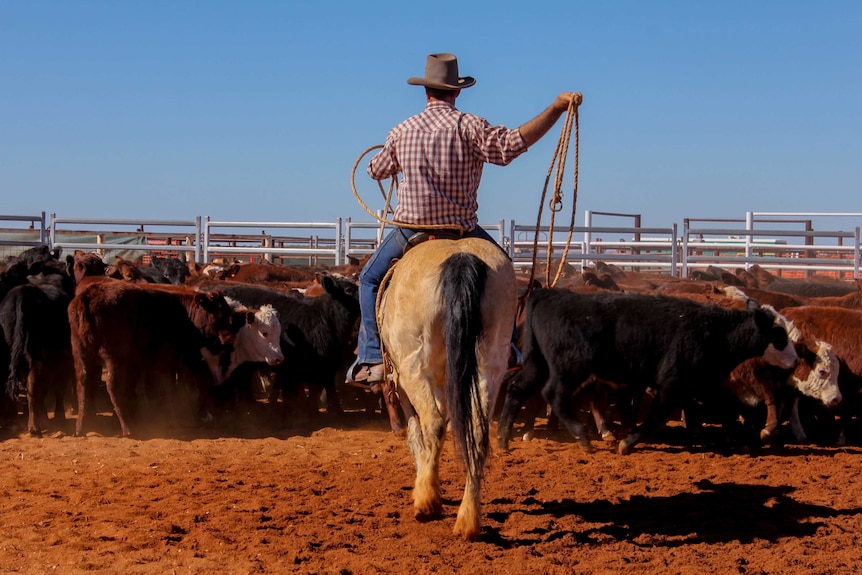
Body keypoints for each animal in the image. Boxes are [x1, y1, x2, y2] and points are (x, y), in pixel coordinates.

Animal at [376, 236, 512, 544]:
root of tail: (460, 257)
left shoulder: (403, 383)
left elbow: (416, 432)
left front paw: (425, 484)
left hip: (413, 364)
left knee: (434, 424)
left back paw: (426, 501)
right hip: (490, 363)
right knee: (477, 433)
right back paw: (468, 520)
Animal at [496, 290, 800, 456]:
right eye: (779, 335)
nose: (796, 361)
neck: (712, 330)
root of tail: (548, 295)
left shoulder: (701, 382)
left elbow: (722, 408)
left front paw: (740, 441)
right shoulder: (671, 382)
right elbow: (656, 417)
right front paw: (628, 442)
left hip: (537, 363)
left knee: (517, 389)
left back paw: (502, 438)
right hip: (569, 368)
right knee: (554, 396)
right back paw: (583, 437)